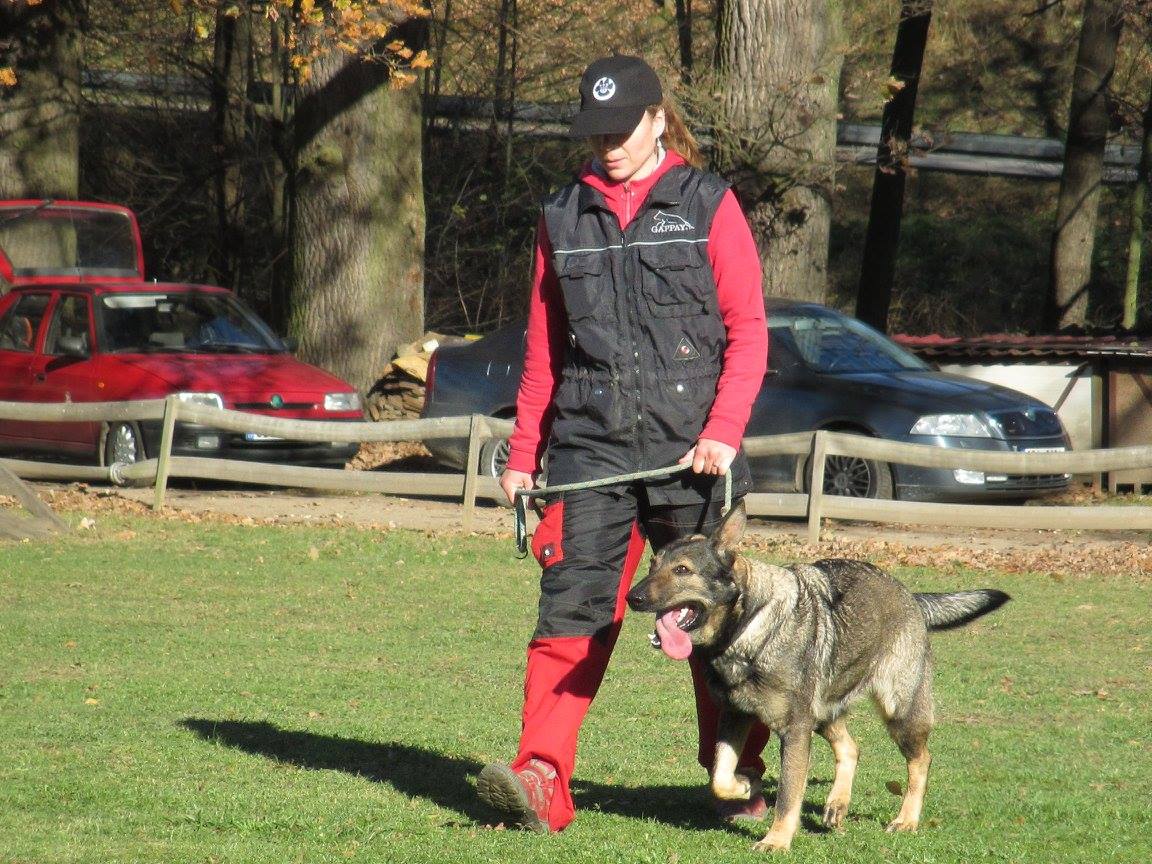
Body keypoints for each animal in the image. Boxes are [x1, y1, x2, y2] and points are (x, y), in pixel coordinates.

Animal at [625, 500, 1009, 852]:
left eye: (682, 570)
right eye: (652, 566)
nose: (633, 597)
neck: (749, 627)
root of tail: (911, 597)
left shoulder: (794, 730)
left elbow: (788, 794)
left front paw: (777, 840)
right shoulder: (735, 716)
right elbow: (720, 776)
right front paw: (745, 786)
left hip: (898, 712)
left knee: (921, 761)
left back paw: (906, 819)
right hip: (823, 714)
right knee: (852, 748)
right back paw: (837, 804)